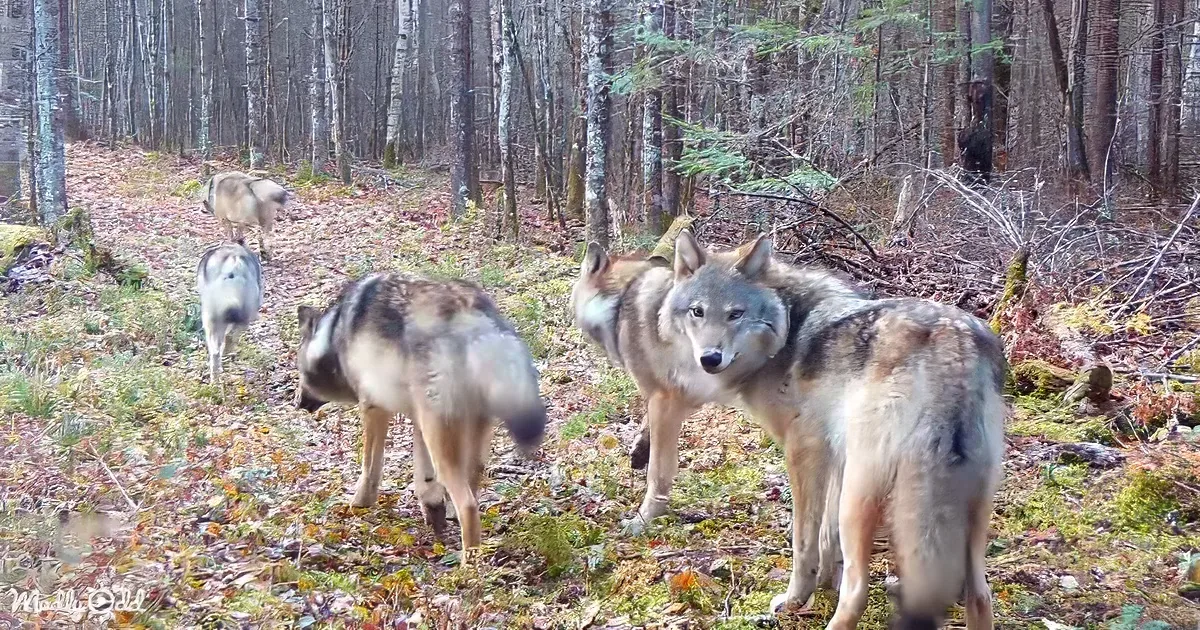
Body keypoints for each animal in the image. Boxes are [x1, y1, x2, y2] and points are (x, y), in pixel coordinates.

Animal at [293, 272, 548, 556]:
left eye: (298, 370)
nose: (298, 402)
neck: (333, 337)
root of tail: (472, 318)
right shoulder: (417, 420)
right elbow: (423, 479)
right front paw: (433, 511)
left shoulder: (373, 408)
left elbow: (370, 469)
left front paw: (357, 505)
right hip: (462, 435)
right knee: (471, 489)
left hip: (443, 438)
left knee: (468, 505)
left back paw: (469, 563)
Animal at [571, 231, 1006, 629]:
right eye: (697, 312)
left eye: (735, 314)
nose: (710, 359)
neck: (786, 330)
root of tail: (955, 341)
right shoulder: (834, 453)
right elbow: (826, 540)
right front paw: (825, 581)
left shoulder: (803, 450)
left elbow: (803, 541)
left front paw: (797, 598)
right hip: (969, 509)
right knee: (980, 595)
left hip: (862, 498)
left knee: (859, 591)